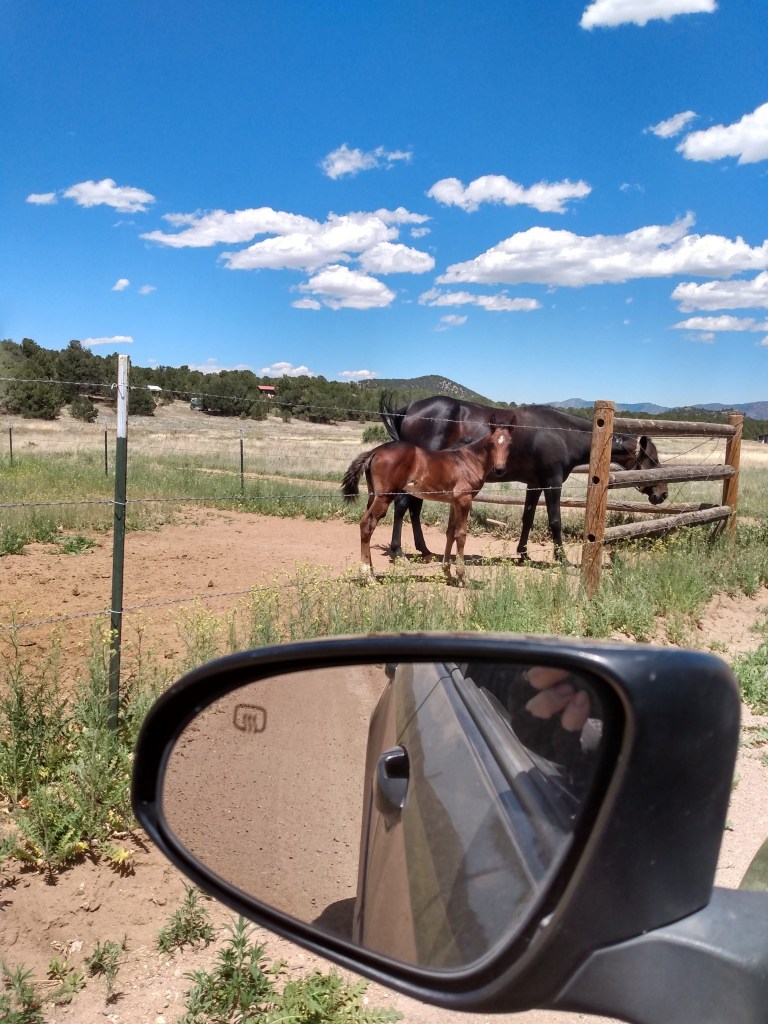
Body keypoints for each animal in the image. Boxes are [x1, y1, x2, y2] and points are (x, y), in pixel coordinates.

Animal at [342, 420, 513, 584]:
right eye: (492, 443)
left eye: (510, 444)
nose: (500, 469)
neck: (469, 460)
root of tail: (374, 451)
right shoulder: (464, 500)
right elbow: (461, 535)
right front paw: (463, 578)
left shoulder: (454, 502)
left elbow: (450, 533)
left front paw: (448, 575)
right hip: (385, 496)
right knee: (367, 524)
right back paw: (369, 577)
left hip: (373, 495)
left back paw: (370, 573)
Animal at [379, 394, 670, 563]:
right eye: (653, 460)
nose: (662, 494)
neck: (562, 433)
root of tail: (410, 409)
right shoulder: (552, 481)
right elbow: (555, 521)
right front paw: (562, 559)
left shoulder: (535, 483)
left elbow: (527, 519)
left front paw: (523, 554)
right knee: (402, 507)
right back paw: (399, 551)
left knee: (413, 509)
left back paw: (424, 550)